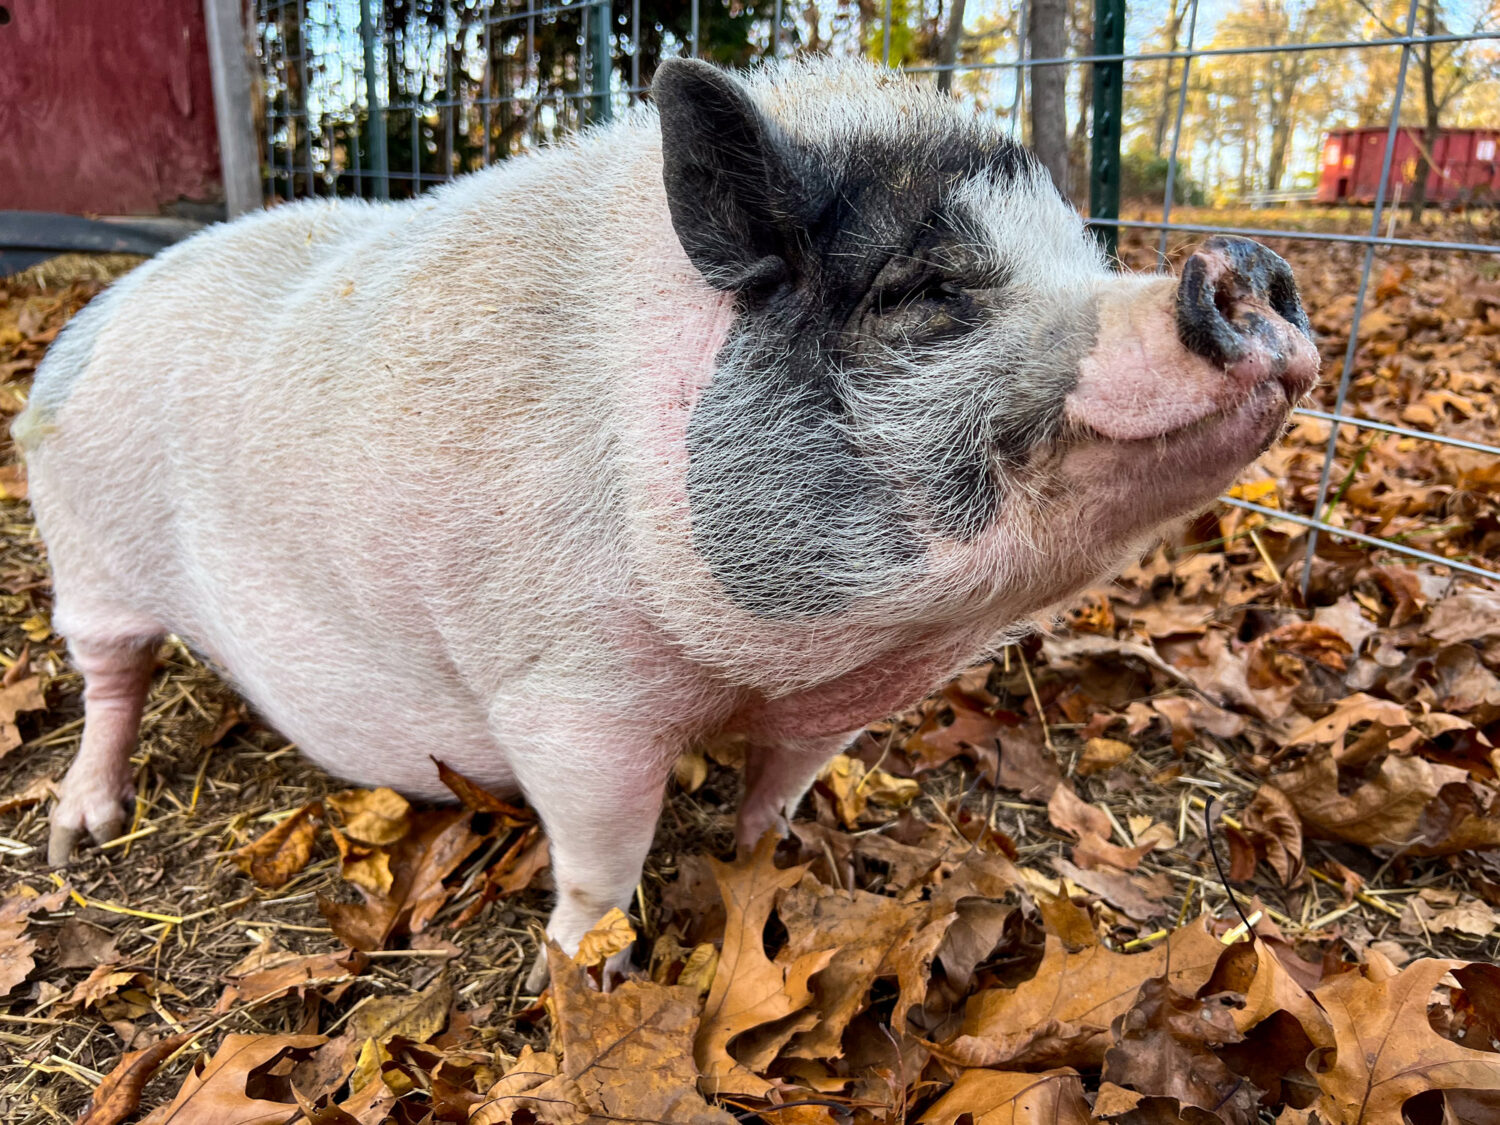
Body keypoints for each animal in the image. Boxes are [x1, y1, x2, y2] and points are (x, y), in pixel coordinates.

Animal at [17, 55, 1320, 984]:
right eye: (924, 288)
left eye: (1086, 253)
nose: (1243, 269)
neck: (765, 666)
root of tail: (90, 312)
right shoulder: (566, 694)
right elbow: (602, 853)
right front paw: (583, 973)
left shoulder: (827, 704)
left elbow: (780, 788)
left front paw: (782, 859)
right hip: (84, 553)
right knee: (109, 678)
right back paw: (81, 830)